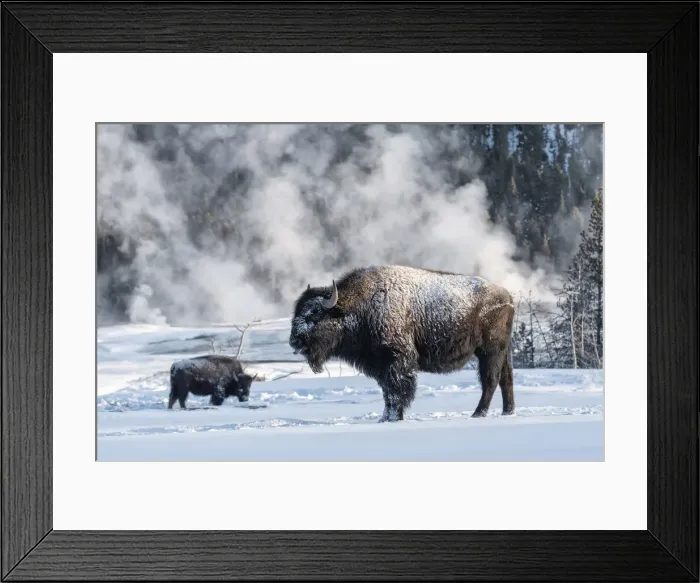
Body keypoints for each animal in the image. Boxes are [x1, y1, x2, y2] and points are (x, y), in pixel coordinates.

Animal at [289, 265, 515, 422]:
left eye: (314, 315)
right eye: (297, 312)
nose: (294, 341)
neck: (359, 307)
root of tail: (507, 296)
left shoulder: (397, 361)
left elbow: (397, 390)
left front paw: (394, 418)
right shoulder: (380, 365)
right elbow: (387, 392)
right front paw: (384, 418)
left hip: (489, 351)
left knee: (490, 380)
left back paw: (478, 414)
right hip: (502, 352)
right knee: (506, 379)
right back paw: (507, 412)